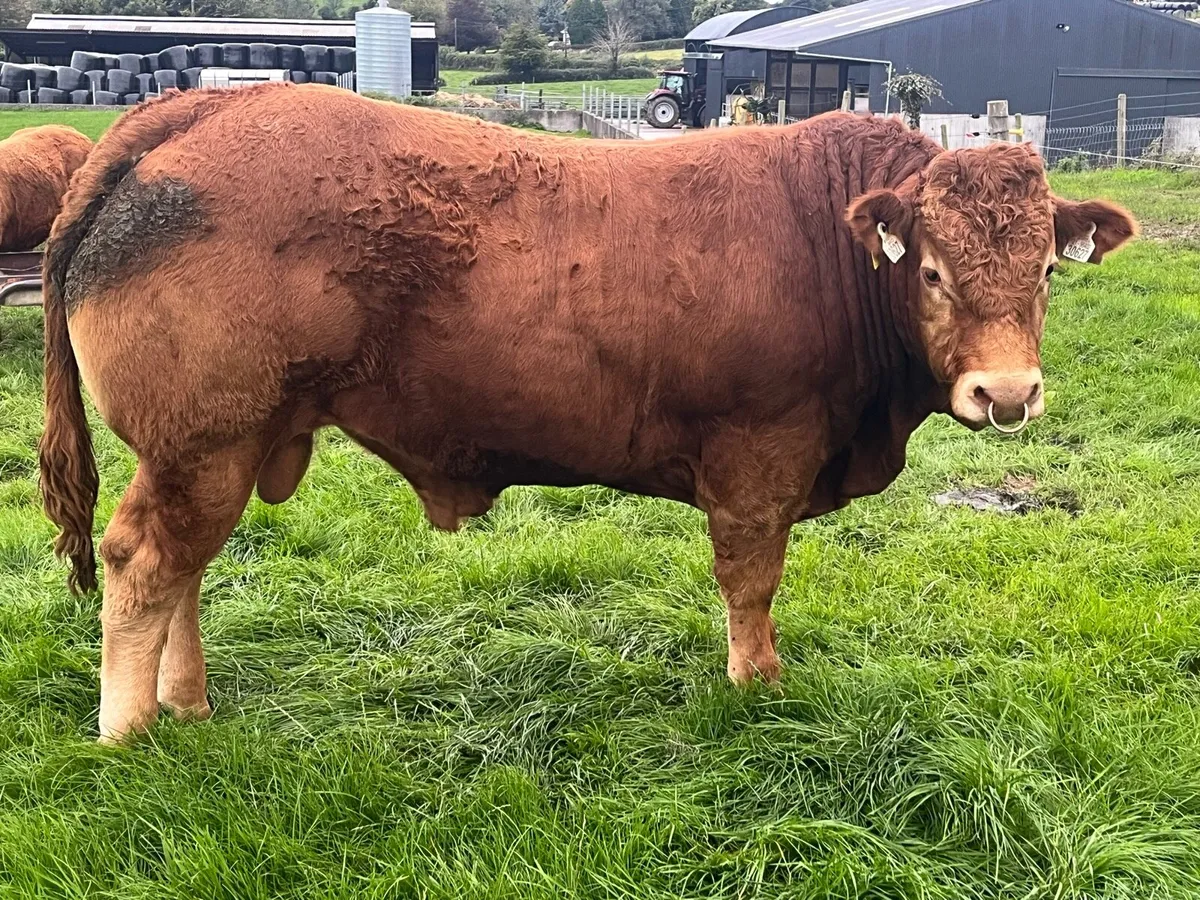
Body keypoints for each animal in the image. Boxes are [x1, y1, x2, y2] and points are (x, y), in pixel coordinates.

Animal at [39, 84, 1136, 742]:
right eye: (937, 272)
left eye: (1047, 271)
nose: (1006, 394)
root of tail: (200, 106)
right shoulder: (759, 457)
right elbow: (752, 582)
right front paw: (758, 686)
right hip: (205, 438)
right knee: (144, 562)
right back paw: (132, 733)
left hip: (217, 447)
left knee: (183, 567)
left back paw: (188, 704)